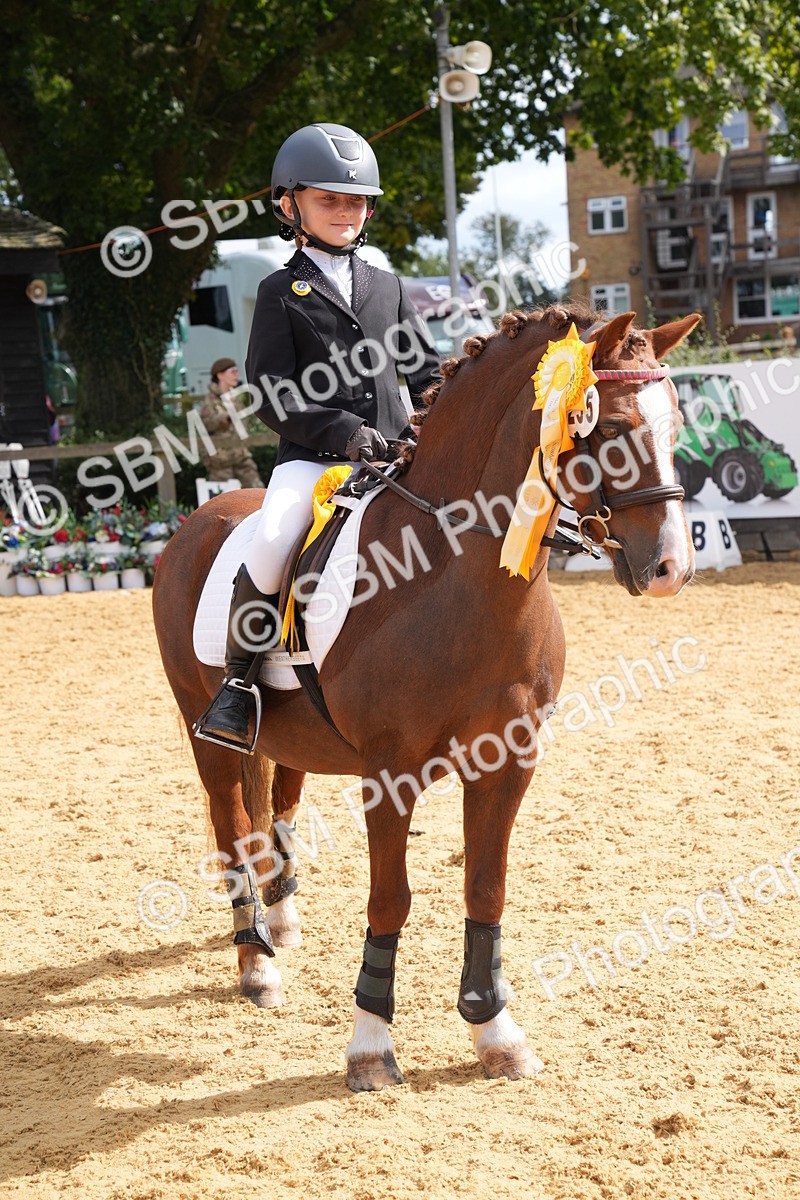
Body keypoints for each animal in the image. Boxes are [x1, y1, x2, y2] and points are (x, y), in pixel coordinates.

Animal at [152, 303, 701, 1091]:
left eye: (677, 423)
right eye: (613, 425)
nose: (669, 569)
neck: (457, 573)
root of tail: (204, 515)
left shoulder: (509, 761)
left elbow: (485, 887)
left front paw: (495, 1032)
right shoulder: (391, 770)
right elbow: (391, 897)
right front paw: (370, 1047)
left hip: (291, 741)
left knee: (274, 809)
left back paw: (280, 924)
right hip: (207, 734)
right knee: (232, 828)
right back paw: (256, 964)